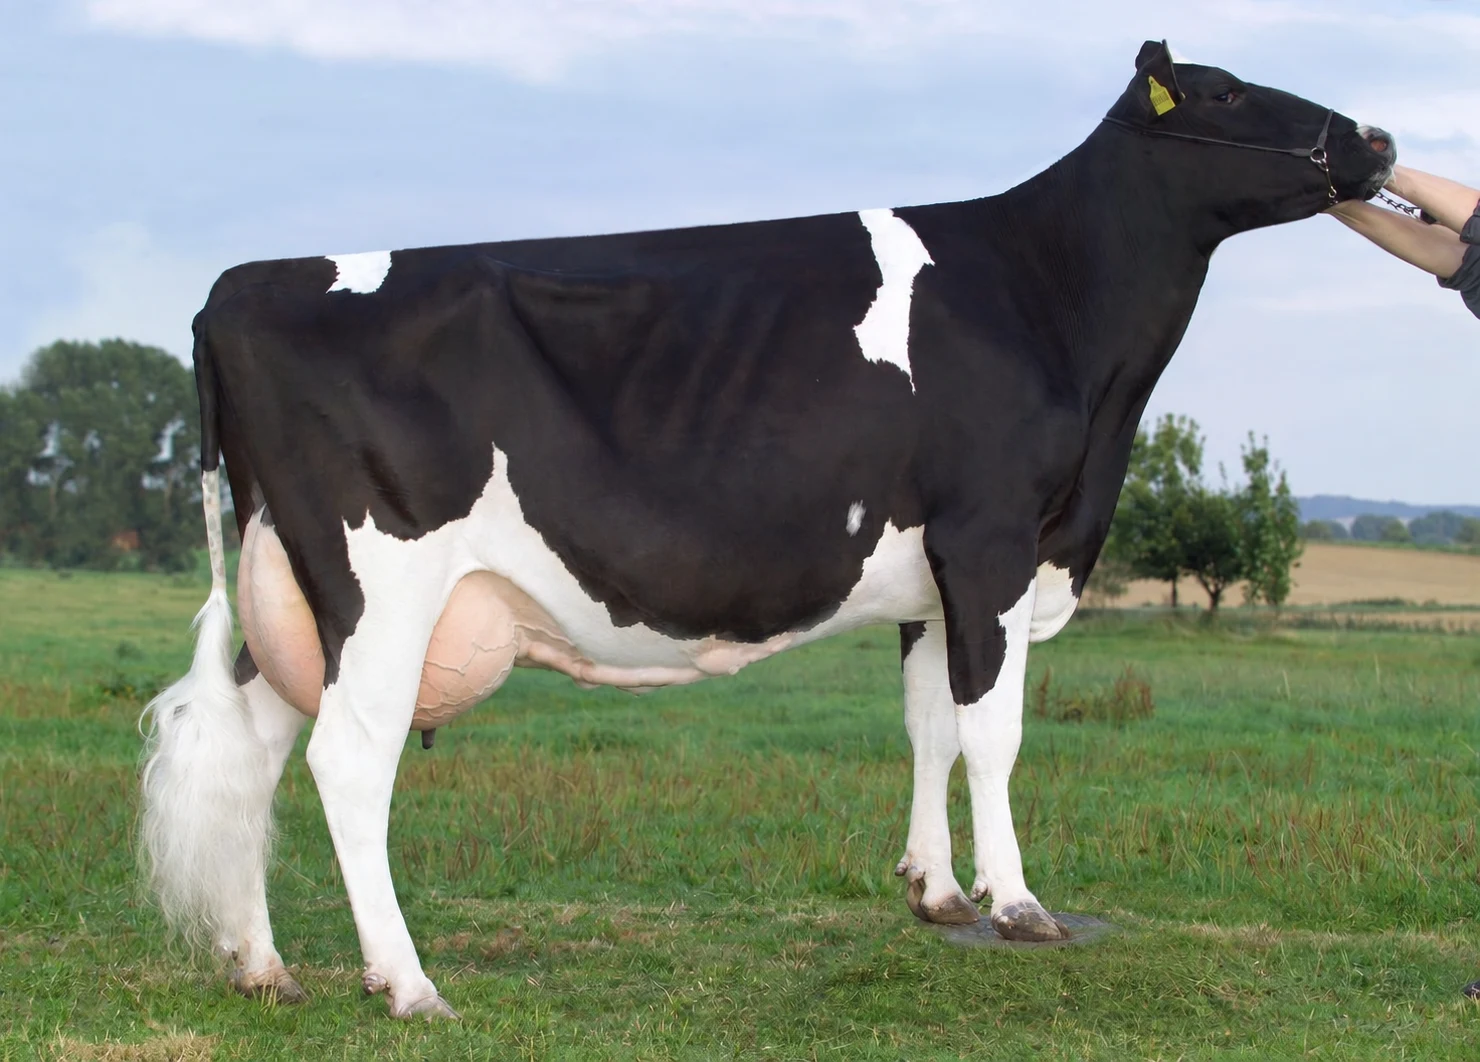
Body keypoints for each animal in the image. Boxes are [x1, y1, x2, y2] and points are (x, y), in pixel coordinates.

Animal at [140, 41, 1394, 1019]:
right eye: (1225, 92)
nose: (1376, 139)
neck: (1048, 304)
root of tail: (240, 285)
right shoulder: (990, 539)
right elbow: (991, 735)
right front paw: (1020, 905)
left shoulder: (932, 575)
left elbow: (927, 727)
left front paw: (936, 892)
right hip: (382, 583)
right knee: (349, 760)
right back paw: (408, 985)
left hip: (293, 593)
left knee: (255, 749)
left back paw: (263, 968)